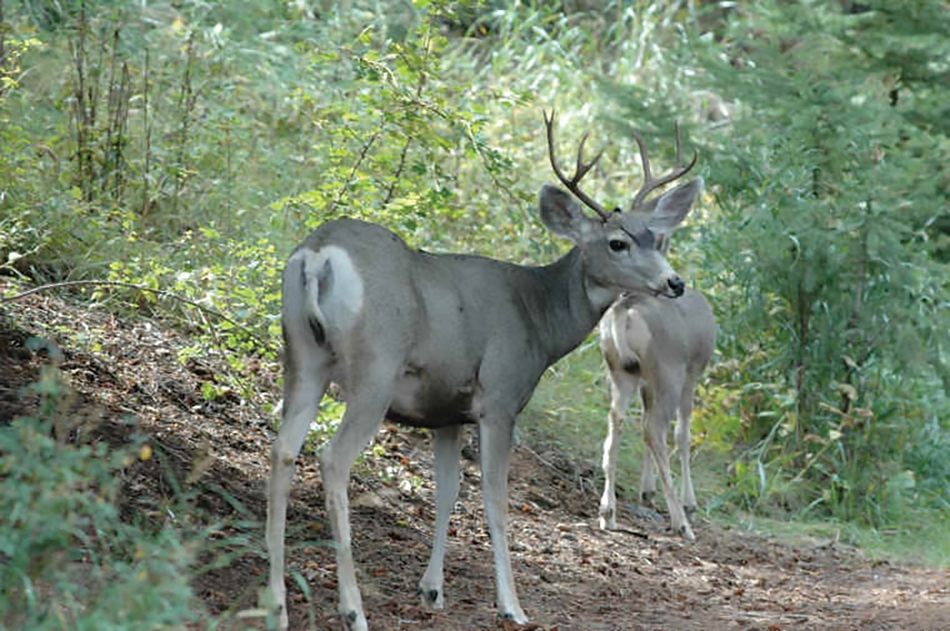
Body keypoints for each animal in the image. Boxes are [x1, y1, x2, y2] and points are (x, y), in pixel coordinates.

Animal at [265, 111, 704, 631]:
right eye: (618, 242)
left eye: (655, 236)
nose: (674, 282)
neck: (538, 317)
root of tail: (318, 256)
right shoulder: (499, 398)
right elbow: (495, 500)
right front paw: (512, 604)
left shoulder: (445, 412)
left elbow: (448, 492)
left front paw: (432, 590)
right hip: (375, 369)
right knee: (332, 458)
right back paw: (353, 609)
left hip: (301, 356)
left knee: (283, 449)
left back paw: (276, 603)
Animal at [596, 125, 716, 541]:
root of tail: (625, 309)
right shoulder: (692, 370)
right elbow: (684, 432)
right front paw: (689, 502)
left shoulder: (644, 377)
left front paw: (646, 490)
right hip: (667, 369)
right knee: (656, 430)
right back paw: (681, 521)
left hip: (619, 368)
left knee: (617, 422)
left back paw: (608, 512)